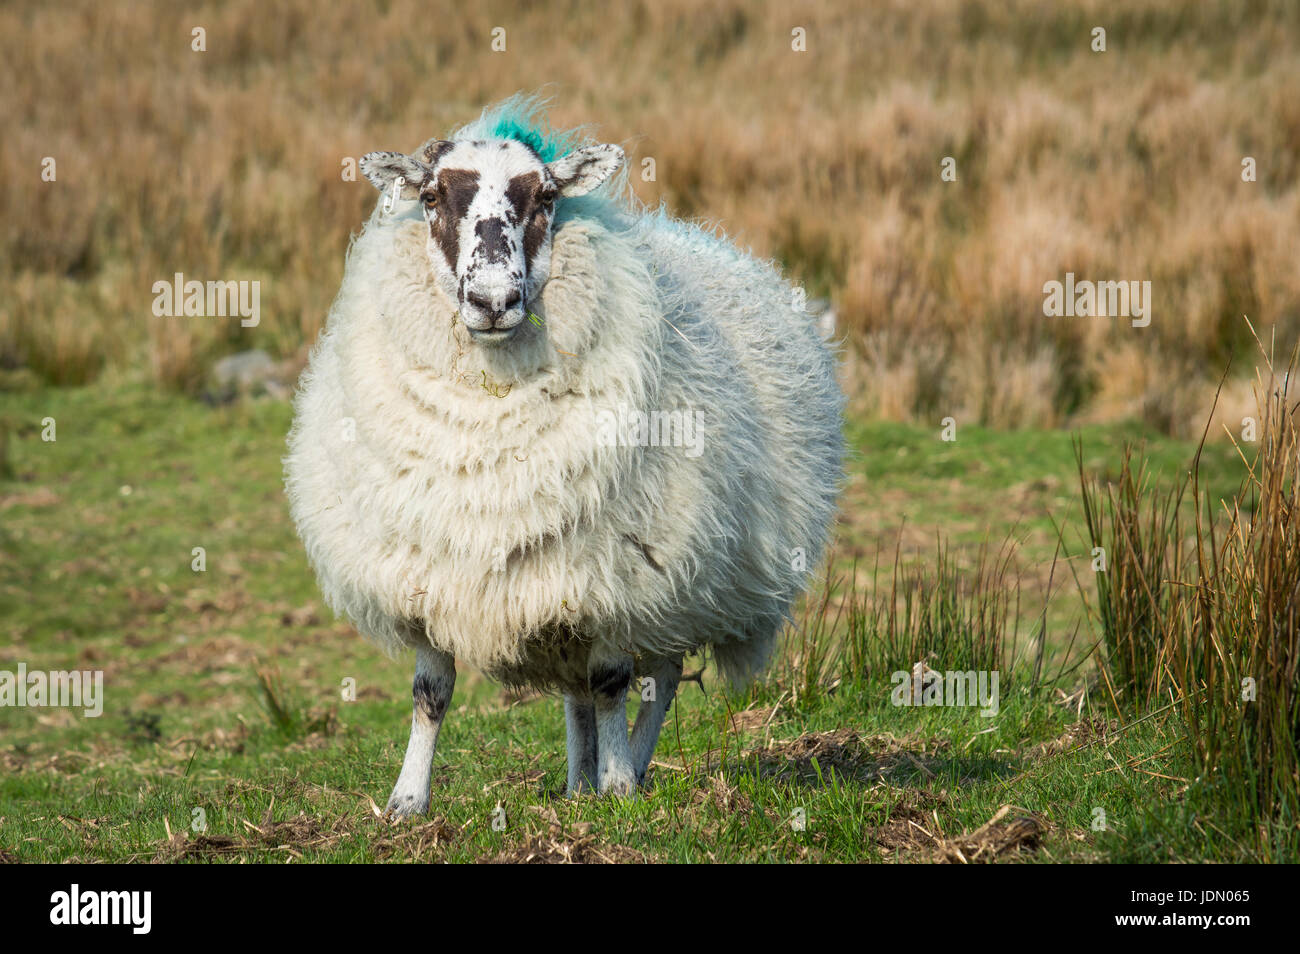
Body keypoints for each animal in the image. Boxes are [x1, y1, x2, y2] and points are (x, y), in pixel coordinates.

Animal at [284, 95, 842, 816]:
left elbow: (613, 682)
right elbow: (431, 693)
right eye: (431, 196)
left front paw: (620, 786)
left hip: (678, 576)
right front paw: (407, 804)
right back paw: (579, 786)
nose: (494, 300)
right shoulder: (430, 572)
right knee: (580, 690)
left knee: (656, 678)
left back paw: (627, 769)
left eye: (547, 196)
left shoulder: (617, 572)